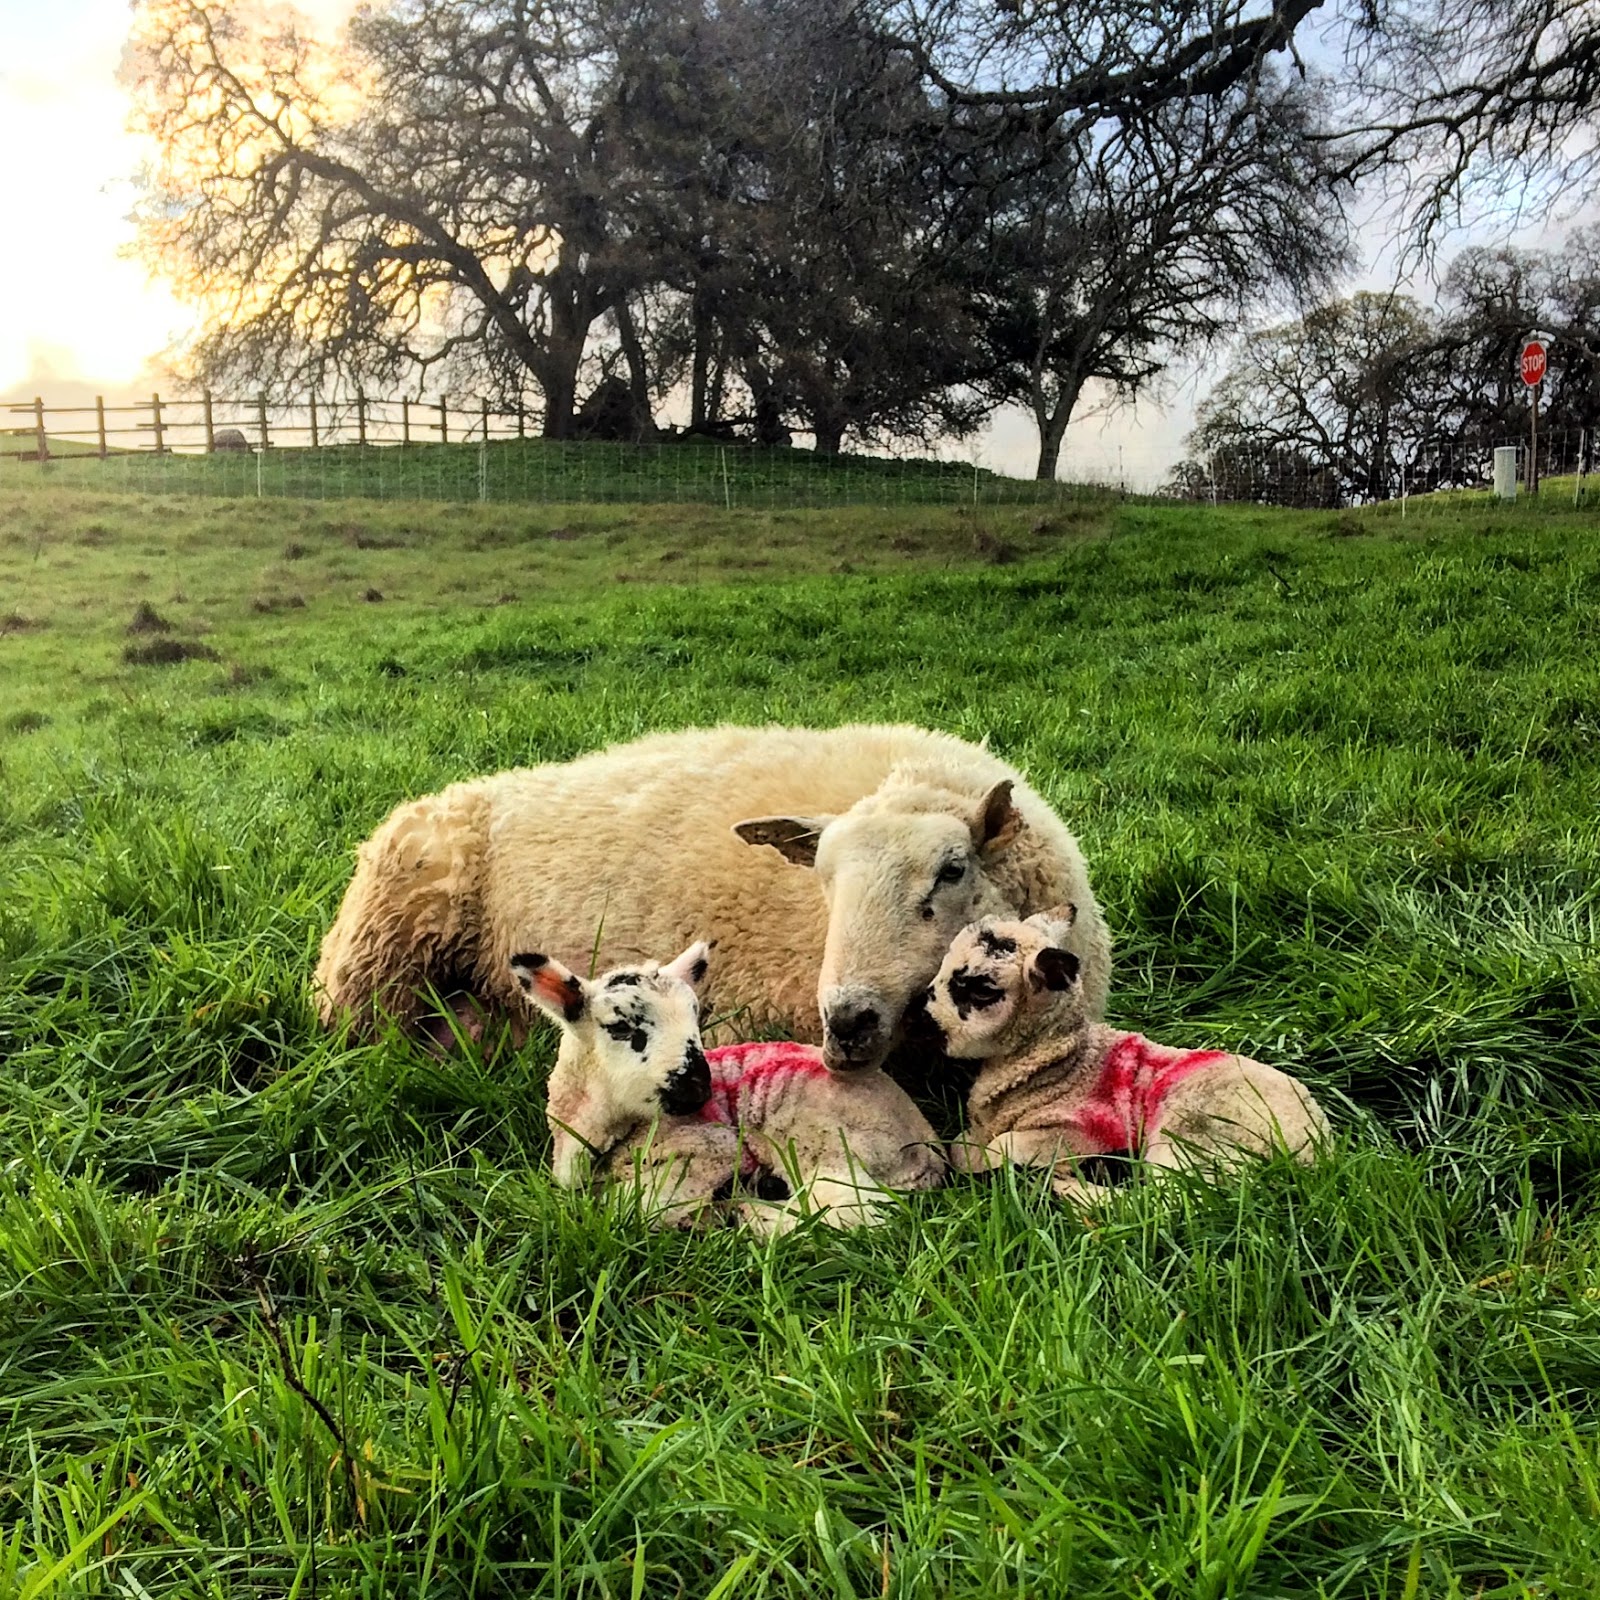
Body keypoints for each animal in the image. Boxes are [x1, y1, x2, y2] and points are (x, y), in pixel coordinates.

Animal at [510, 942, 946, 1234]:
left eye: (695, 1017)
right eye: (620, 1027)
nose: (698, 1087)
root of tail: (927, 1147)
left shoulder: (710, 1148)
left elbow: (634, 1207)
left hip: (823, 1140)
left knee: (853, 1208)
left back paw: (748, 1213)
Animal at [922, 908, 1329, 1201]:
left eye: (981, 989)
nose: (922, 1020)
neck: (1064, 1065)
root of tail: (1316, 1148)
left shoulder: (1076, 1130)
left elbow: (997, 1148)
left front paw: (971, 1158)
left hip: (1194, 1135)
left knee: (1167, 1204)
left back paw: (1072, 1189)